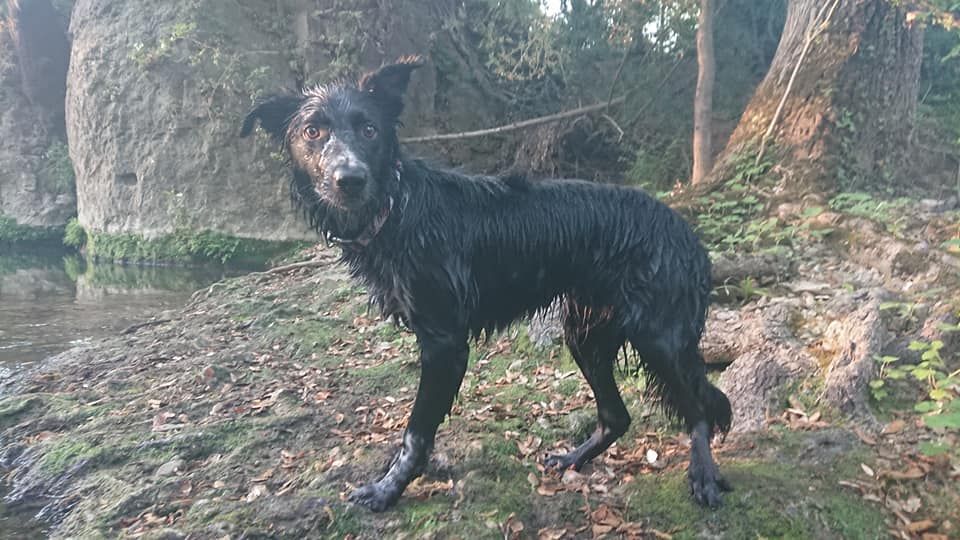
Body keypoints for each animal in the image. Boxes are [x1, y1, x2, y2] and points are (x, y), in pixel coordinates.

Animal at [242, 57, 736, 512]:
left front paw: (388, 489)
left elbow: (415, 432)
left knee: (699, 408)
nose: (350, 180)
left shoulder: (444, 342)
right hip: (586, 335)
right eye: (312, 132)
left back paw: (703, 475)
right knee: (618, 415)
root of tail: (689, 234)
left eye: (369, 129)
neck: (397, 210)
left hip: (659, 337)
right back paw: (574, 459)